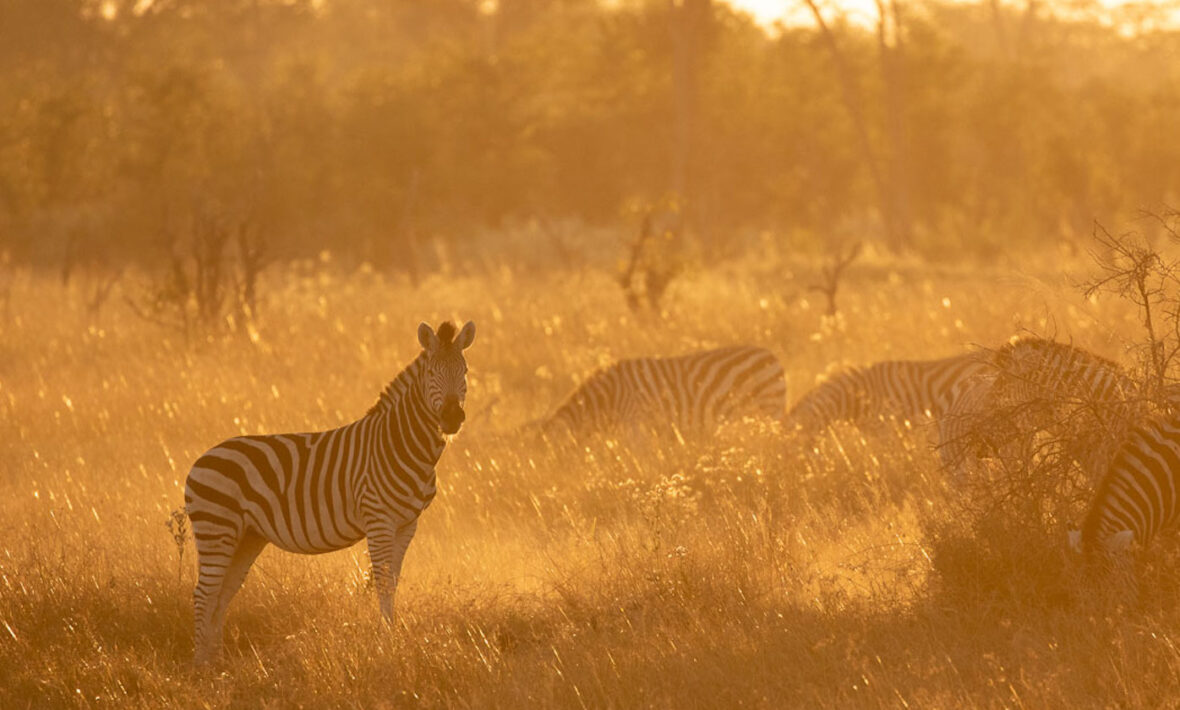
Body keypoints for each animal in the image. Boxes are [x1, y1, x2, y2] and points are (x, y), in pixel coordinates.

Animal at [182, 318, 474, 660]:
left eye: (465, 371)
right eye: (430, 373)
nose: (452, 417)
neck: (399, 442)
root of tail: (200, 460)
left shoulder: (407, 523)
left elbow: (393, 581)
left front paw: (391, 637)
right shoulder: (378, 519)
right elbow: (381, 582)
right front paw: (385, 643)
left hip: (247, 536)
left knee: (223, 591)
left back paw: (216, 661)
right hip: (217, 527)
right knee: (204, 593)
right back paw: (201, 662)